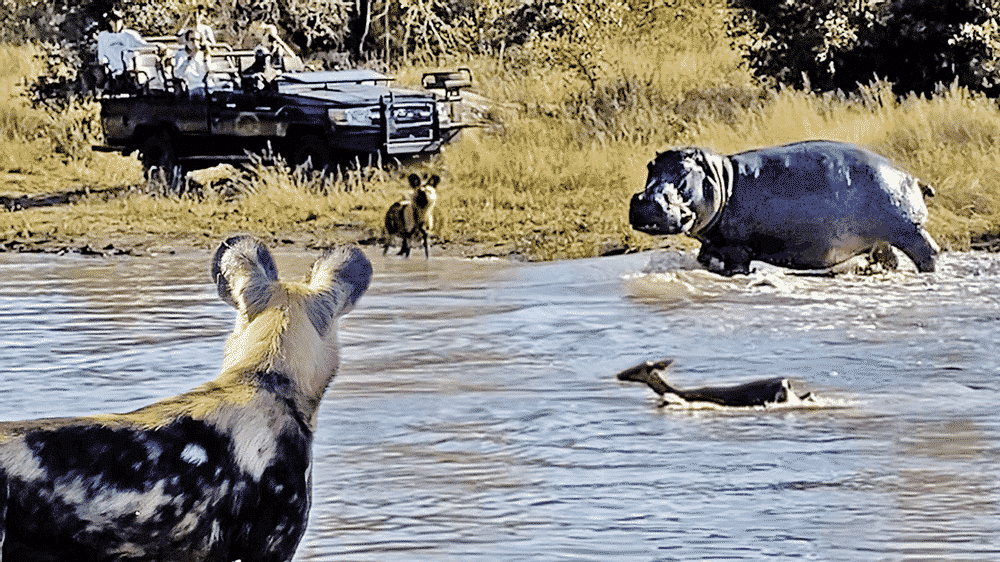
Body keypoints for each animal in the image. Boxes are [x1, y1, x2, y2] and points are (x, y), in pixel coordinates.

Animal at [628, 141, 940, 274]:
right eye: (650, 166)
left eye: (683, 173)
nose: (645, 201)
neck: (723, 178)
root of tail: (911, 177)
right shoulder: (712, 244)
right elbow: (704, 259)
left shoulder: (736, 248)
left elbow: (736, 269)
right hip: (881, 240)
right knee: (891, 259)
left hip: (909, 230)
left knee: (928, 252)